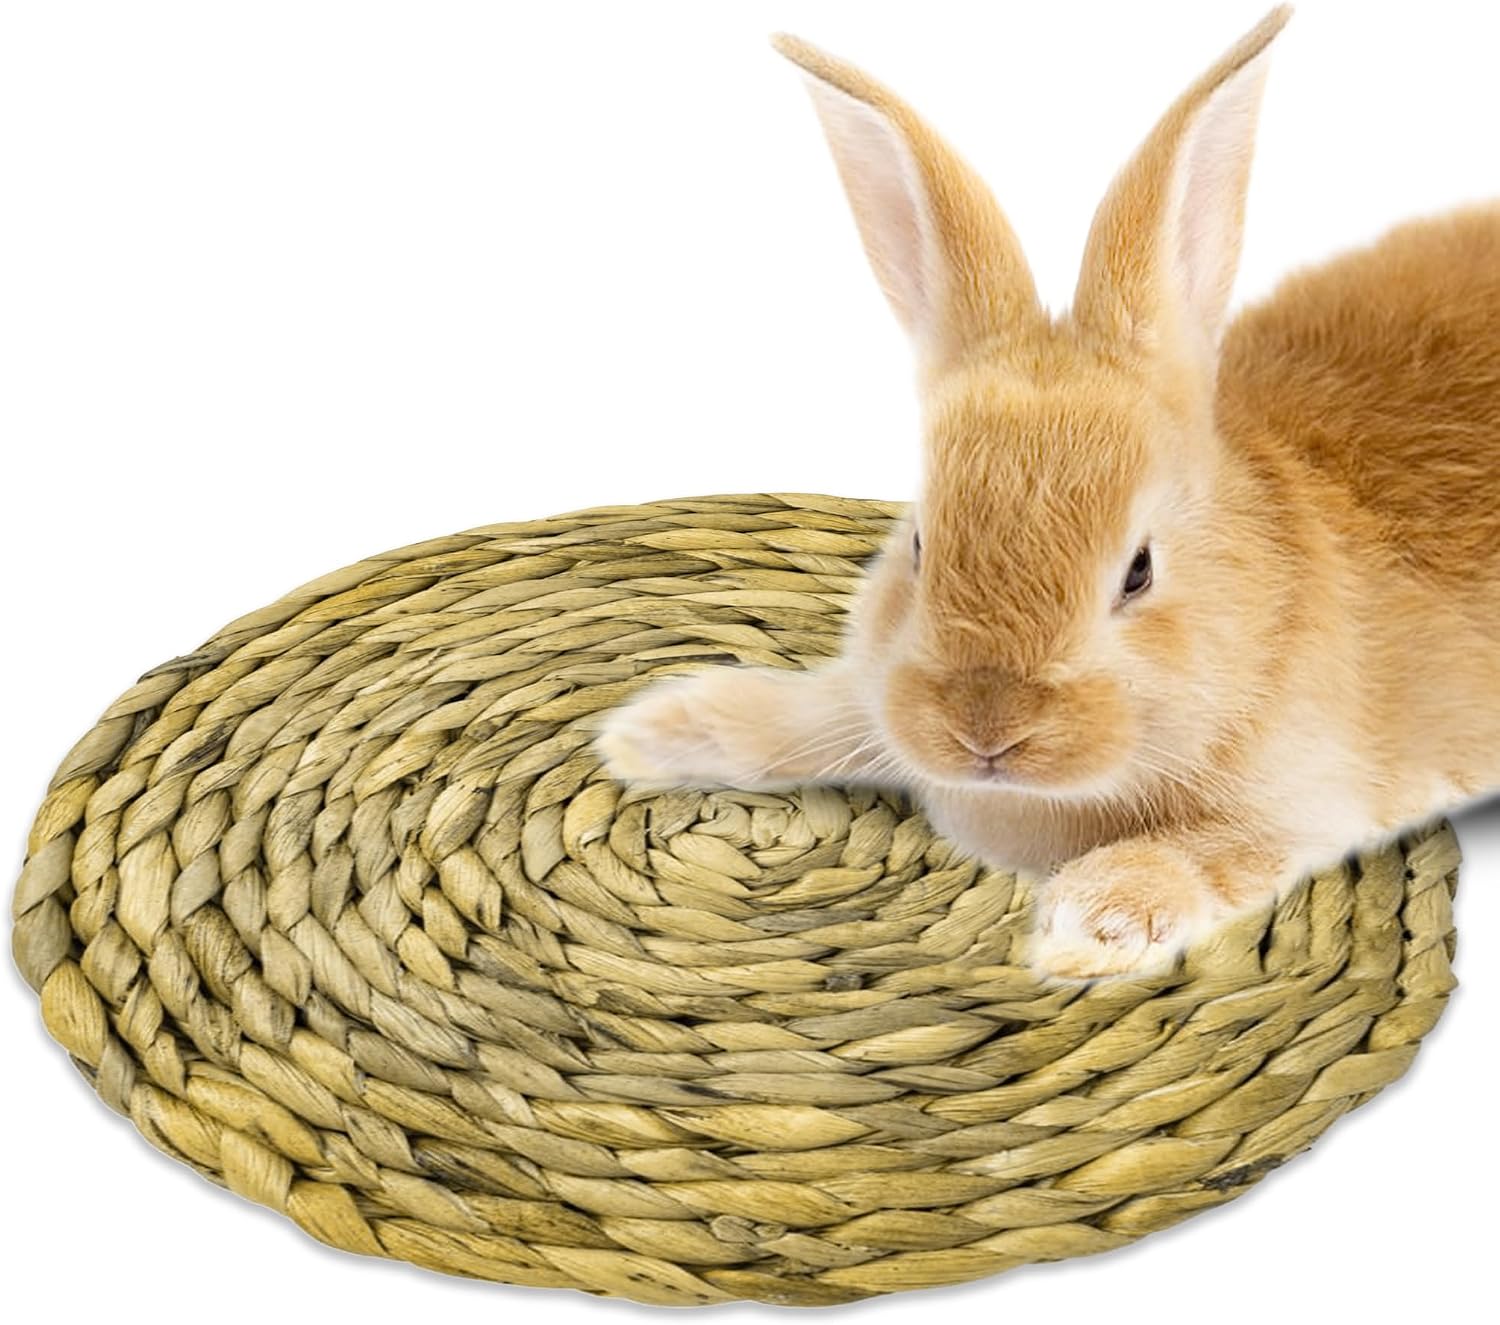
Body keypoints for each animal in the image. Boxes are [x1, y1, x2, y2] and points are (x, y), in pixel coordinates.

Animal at [596, 5, 1500, 980]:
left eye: (1139, 571)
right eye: (920, 546)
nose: (986, 731)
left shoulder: (1296, 804)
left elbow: (1208, 852)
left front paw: (1089, 923)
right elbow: (828, 710)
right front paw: (660, 731)